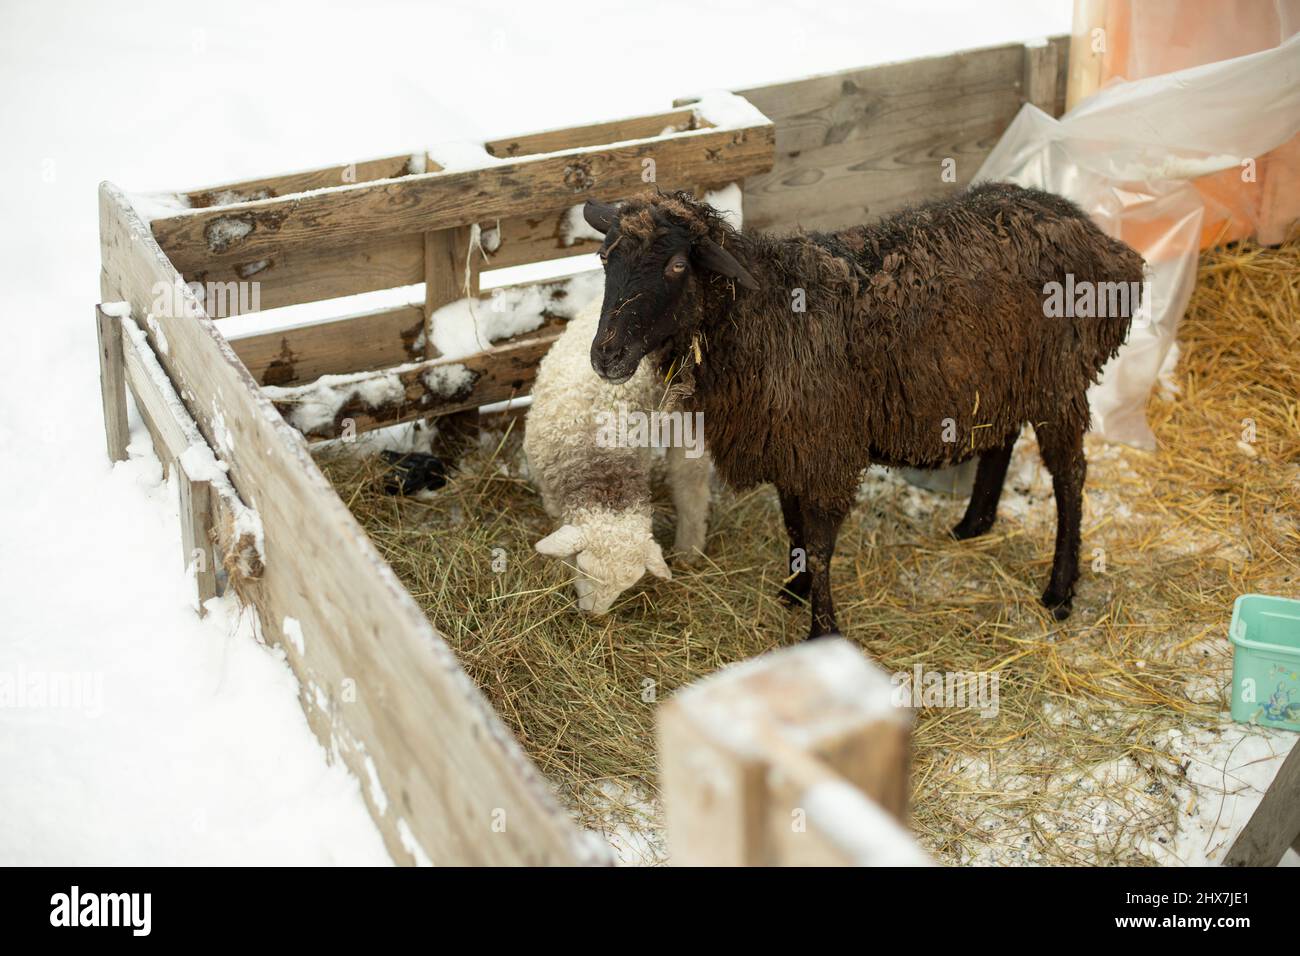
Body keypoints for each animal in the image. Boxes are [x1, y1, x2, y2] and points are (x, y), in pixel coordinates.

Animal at [524, 297, 710, 615]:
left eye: (624, 588)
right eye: (584, 569)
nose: (592, 616)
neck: (602, 461)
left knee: (691, 481)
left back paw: (689, 548)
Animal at [580, 184, 1145, 639]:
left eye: (677, 265)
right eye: (606, 259)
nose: (606, 355)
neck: (760, 317)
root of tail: (1106, 244)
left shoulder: (825, 448)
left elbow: (820, 541)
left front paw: (822, 629)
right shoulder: (789, 444)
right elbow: (793, 526)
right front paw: (796, 587)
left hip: (1058, 381)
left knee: (1070, 477)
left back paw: (1060, 589)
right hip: (999, 374)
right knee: (1000, 438)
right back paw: (973, 524)